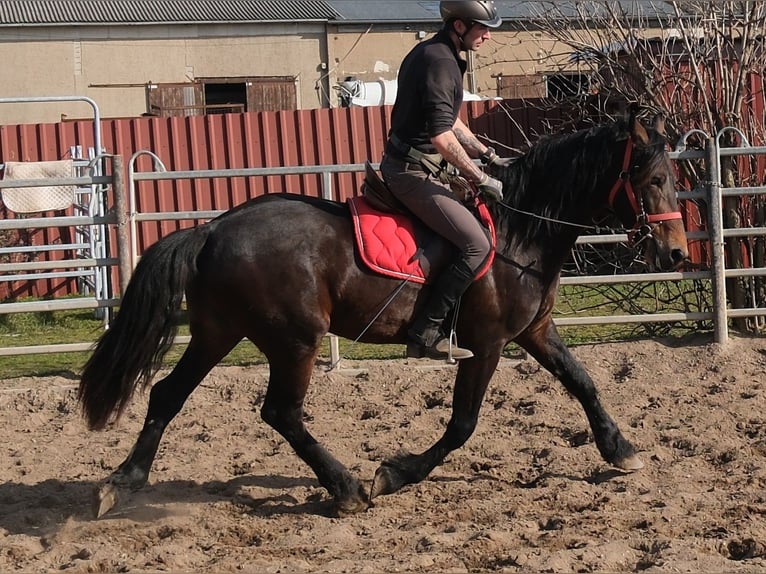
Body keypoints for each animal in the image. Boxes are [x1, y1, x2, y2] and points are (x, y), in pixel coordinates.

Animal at [78, 108, 688, 518]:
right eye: (654, 180)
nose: (678, 254)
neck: (523, 229)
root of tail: (212, 229)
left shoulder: (535, 330)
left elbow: (584, 382)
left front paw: (620, 450)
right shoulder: (487, 342)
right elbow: (463, 423)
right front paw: (394, 474)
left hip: (217, 333)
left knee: (168, 395)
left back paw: (123, 480)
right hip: (295, 341)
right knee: (280, 413)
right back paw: (347, 489)